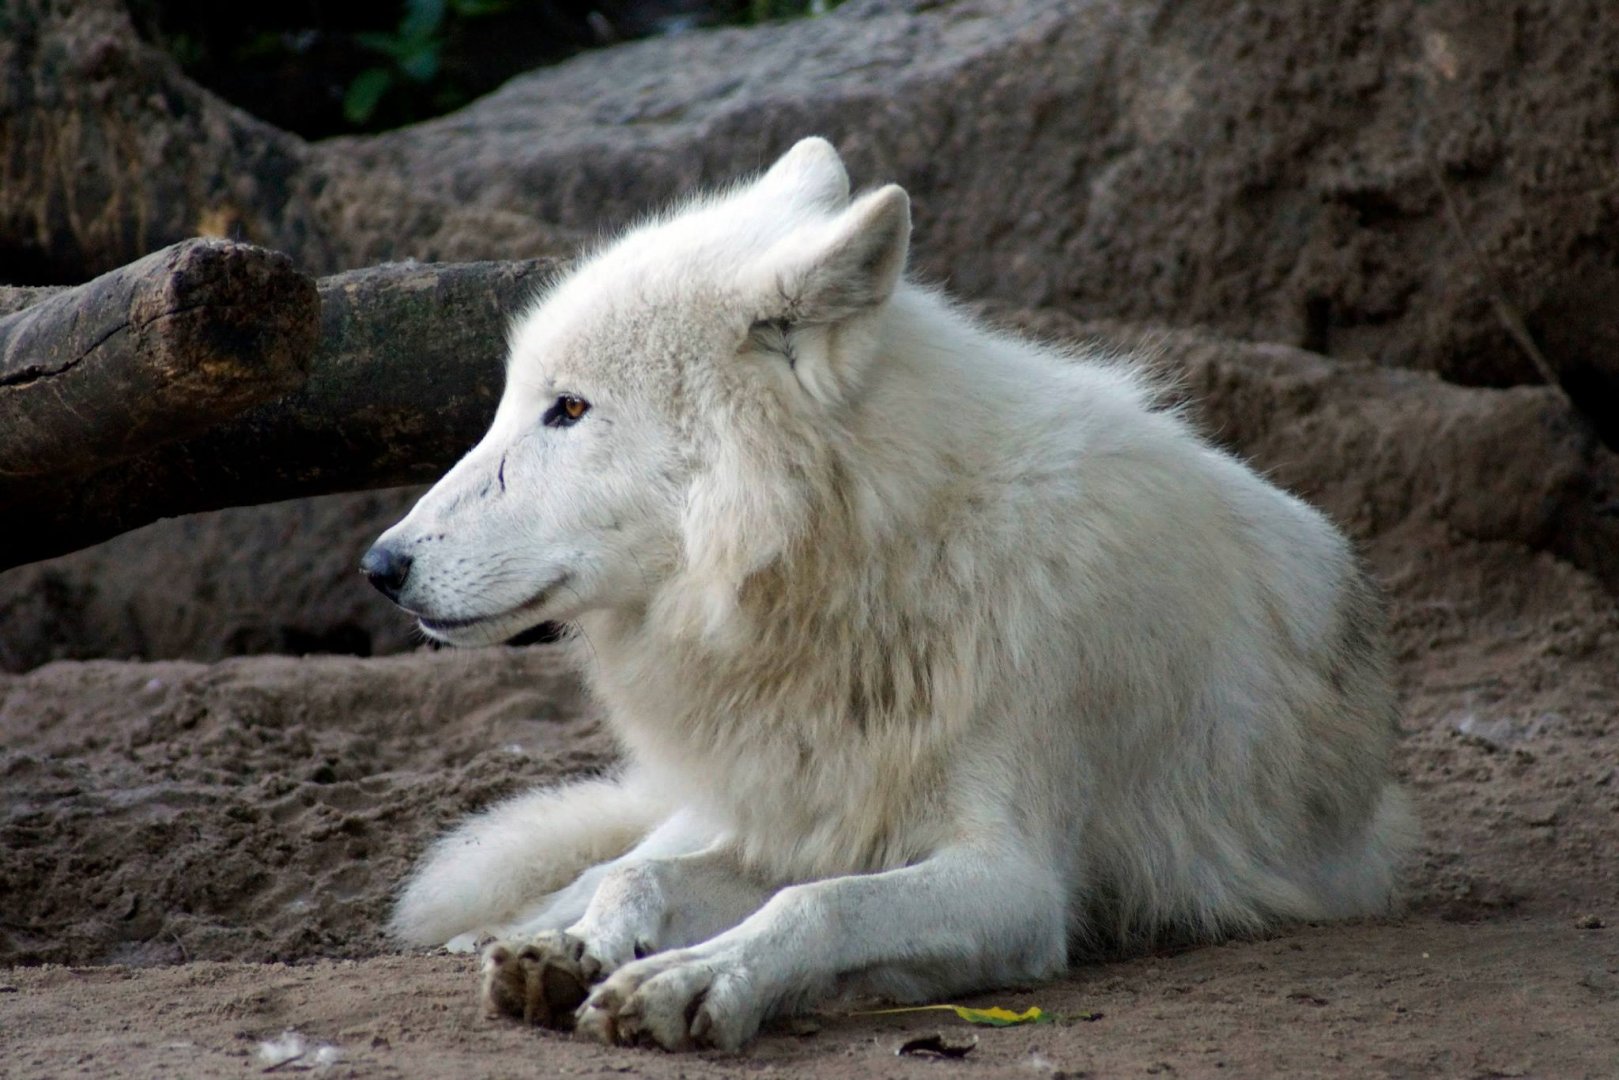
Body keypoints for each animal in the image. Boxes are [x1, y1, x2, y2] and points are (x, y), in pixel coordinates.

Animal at [363, 137, 1412, 1052]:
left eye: (569, 410)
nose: (380, 566)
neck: (874, 566)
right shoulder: (805, 824)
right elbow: (648, 879)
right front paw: (582, 951)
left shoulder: (1013, 881)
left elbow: (818, 905)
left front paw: (693, 979)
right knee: (617, 856)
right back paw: (529, 932)